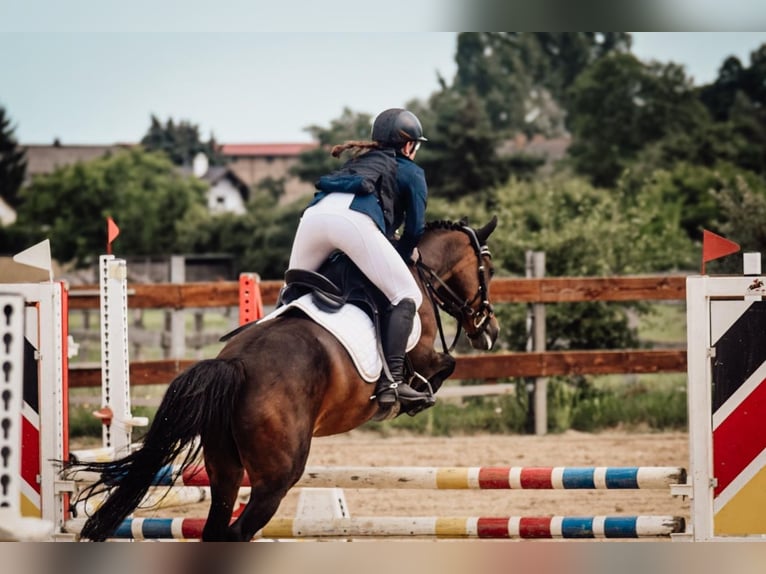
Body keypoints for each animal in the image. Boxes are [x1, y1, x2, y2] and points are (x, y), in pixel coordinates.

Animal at [64, 217, 498, 544]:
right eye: (488, 271)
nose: (489, 330)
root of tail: (235, 364)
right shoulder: (422, 353)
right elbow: (444, 366)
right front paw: (411, 398)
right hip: (277, 477)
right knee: (238, 532)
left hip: (225, 469)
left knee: (217, 528)